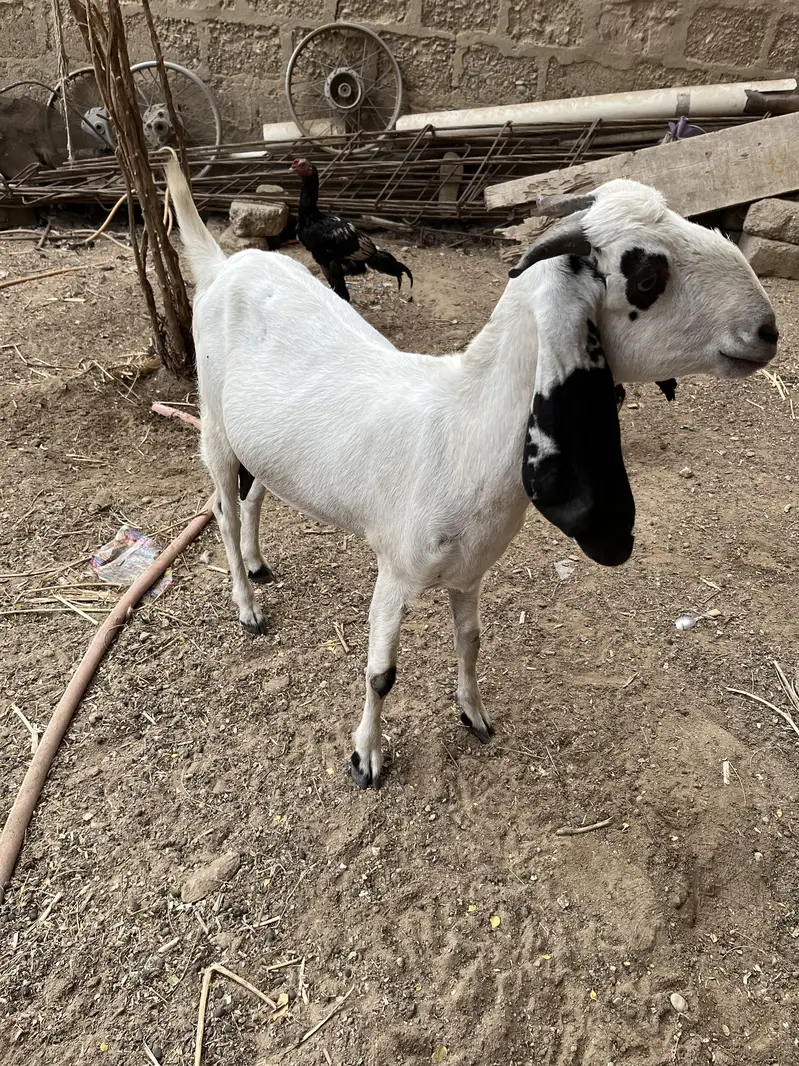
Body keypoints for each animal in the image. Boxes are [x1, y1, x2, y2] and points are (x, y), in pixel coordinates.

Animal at [164, 158, 778, 789]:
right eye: (647, 277)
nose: (767, 329)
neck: (460, 431)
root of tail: (224, 264)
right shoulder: (395, 570)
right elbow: (381, 673)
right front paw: (366, 756)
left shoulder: (470, 572)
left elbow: (471, 642)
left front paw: (473, 715)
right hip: (214, 425)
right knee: (224, 511)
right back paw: (247, 606)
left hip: (264, 444)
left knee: (256, 495)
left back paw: (259, 566)